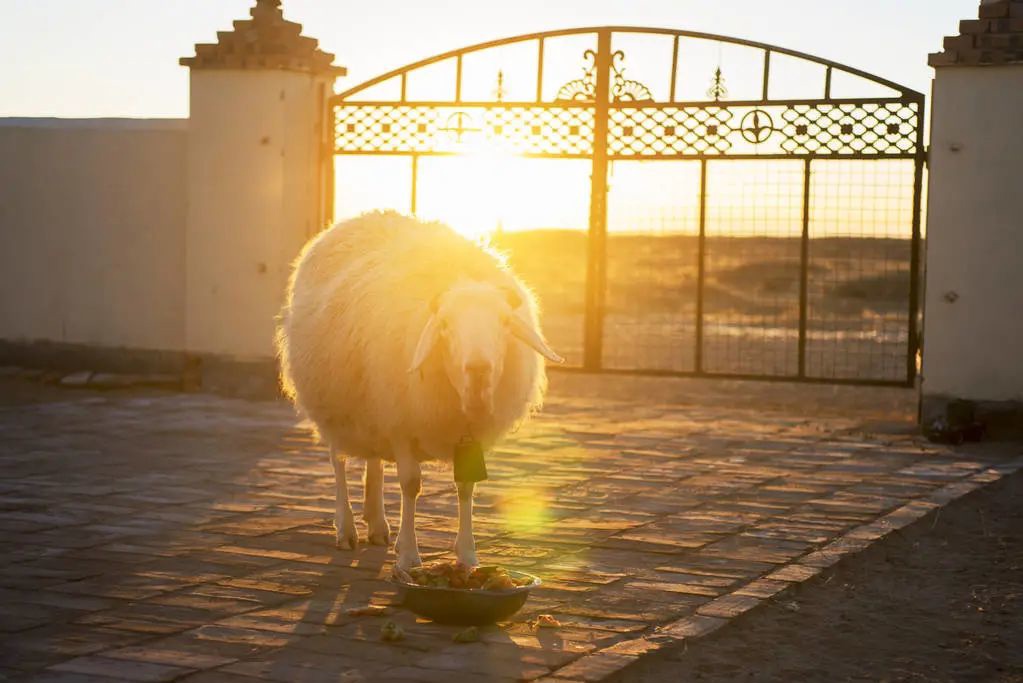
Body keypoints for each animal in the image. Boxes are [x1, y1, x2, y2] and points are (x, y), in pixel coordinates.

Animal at [274, 209, 560, 572]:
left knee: (373, 461)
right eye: (445, 326)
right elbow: (411, 485)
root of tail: (362, 216)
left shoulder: (466, 435)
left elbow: (466, 486)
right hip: (336, 406)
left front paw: (467, 554)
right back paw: (347, 528)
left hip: (373, 405)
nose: (478, 372)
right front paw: (409, 554)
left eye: (505, 324)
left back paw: (377, 523)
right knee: (338, 461)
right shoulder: (400, 424)